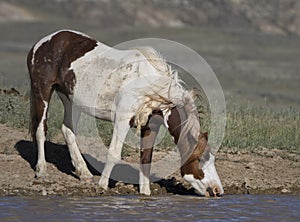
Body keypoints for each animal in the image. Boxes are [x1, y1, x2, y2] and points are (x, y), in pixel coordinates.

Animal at [27, 29, 223, 196]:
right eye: (200, 159)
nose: (217, 191)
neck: (149, 85)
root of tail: (42, 43)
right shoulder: (122, 120)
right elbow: (114, 153)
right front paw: (102, 186)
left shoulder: (151, 126)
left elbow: (146, 159)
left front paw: (145, 193)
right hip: (42, 92)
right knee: (40, 130)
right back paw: (41, 170)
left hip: (70, 100)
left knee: (67, 131)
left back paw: (83, 172)